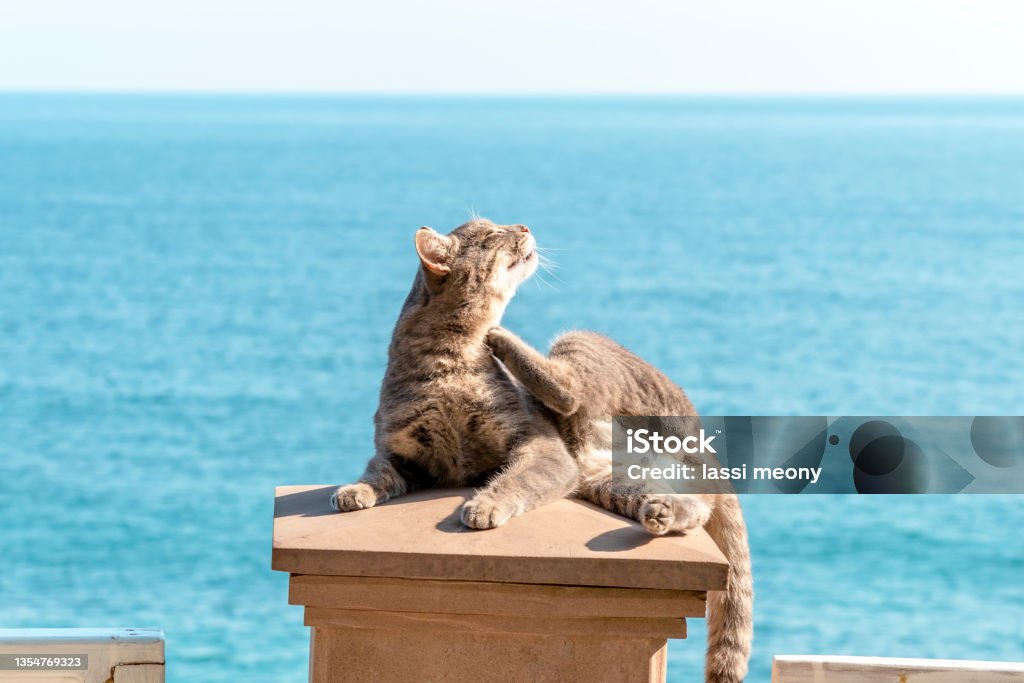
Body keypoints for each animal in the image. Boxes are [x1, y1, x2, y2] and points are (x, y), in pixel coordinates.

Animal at [329, 219, 753, 683]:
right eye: (489, 234)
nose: (522, 225)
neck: (449, 360)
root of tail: (703, 440)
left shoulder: (539, 446)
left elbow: (515, 481)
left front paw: (485, 506)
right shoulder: (402, 453)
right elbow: (377, 474)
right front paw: (353, 492)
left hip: (577, 348)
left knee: (570, 391)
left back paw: (505, 339)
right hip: (615, 481)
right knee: (694, 507)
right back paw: (659, 512)